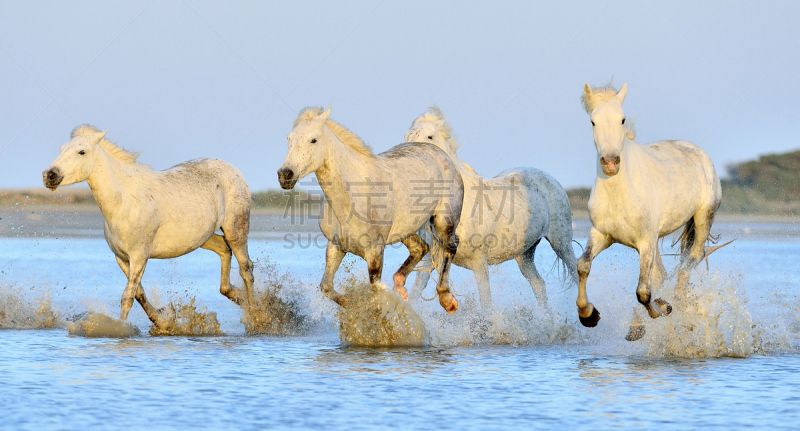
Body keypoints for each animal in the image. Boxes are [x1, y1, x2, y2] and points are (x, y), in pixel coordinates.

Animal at [42, 125, 255, 330]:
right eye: (61, 149)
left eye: (82, 152)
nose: (49, 176)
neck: (123, 201)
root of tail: (233, 170)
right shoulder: (122, 257)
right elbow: (139, 293)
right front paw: (163, 322)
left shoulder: (139, 256)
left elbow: (128, 297)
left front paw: (122, 328)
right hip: (204, 237)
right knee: (225, 252)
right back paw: (239, 298)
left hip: (235, 230)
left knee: (246, 269)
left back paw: (256, 317)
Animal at [276, 105, 462, 314]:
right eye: (289, 139)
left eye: (313, 139)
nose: (285, 175)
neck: (351, 199)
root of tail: (441, 154)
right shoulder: (336, 246)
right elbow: (326, 287)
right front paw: (351, 305)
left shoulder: (375, 251)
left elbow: (375, 291)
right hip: (405, 229)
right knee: (421, 247)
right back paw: (401, 290)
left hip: (443, 222)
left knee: (450, 246)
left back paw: (447, 300)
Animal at [404, 108, 580, 310]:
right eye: (406, 137)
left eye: (430, 136)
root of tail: (550, 178)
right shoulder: (431, 258)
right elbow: (415, 293)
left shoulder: (479, 262)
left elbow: (487, 305)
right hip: (525, 254)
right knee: (539, 284)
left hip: (561, 243)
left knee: (576, 274)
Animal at [580, 83, 720, 340]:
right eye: (593, 121)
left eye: (622, 119)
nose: (611, 162)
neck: (620, 193)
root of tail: (698, 151)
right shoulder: (601, 235)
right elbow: (583, 265)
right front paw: (588, 315)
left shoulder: (645, 241)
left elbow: (643, 292)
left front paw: (663, 309)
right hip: (655, 238)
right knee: (662, 274)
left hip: (703, 217)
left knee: (693, 259)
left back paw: (679, 298)